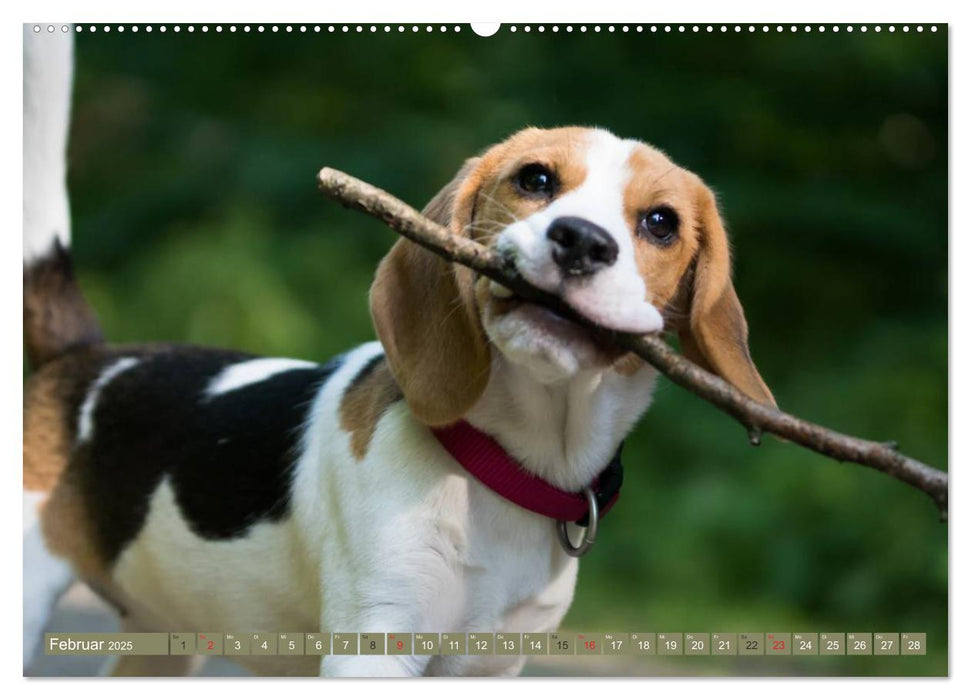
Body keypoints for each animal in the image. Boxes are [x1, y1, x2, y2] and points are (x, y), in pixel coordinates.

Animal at [22, 71, 776, 680]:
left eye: (661, 222)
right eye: (534, 179)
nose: (581, 242)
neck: (504, 467)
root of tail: (81, 359)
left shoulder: (489, 667)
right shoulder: (376, 643)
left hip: (162, 641)